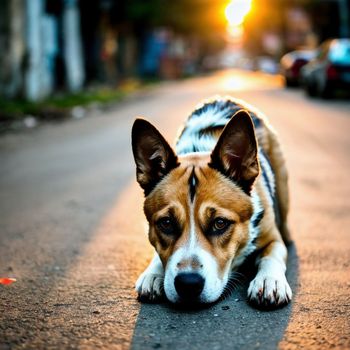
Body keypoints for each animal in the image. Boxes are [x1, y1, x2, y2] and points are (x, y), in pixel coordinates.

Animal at [133, 97, 292, 308]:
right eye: (166, 223)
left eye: (220, 223)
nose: (188, 284)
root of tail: (224, 98)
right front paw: (153, 273)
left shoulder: (273, 238)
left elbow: (271, 256)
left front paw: (269, 280)